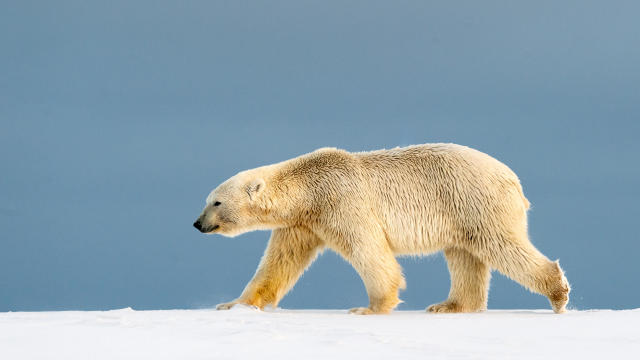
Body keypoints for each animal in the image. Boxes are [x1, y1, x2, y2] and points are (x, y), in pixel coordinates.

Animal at [191, 145, 568, 314]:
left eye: (216, 202)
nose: (197, 223)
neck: (308, 188)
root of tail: (513, 179)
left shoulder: (341, 201)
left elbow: (367, 250)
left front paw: (369, 308)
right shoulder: (303, 223)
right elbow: (278, 263)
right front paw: (233, 305)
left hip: (474, 201)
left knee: (502, 245)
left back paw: (558, 293)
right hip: (461, 215)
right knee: (464, 257)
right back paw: (449, 305)